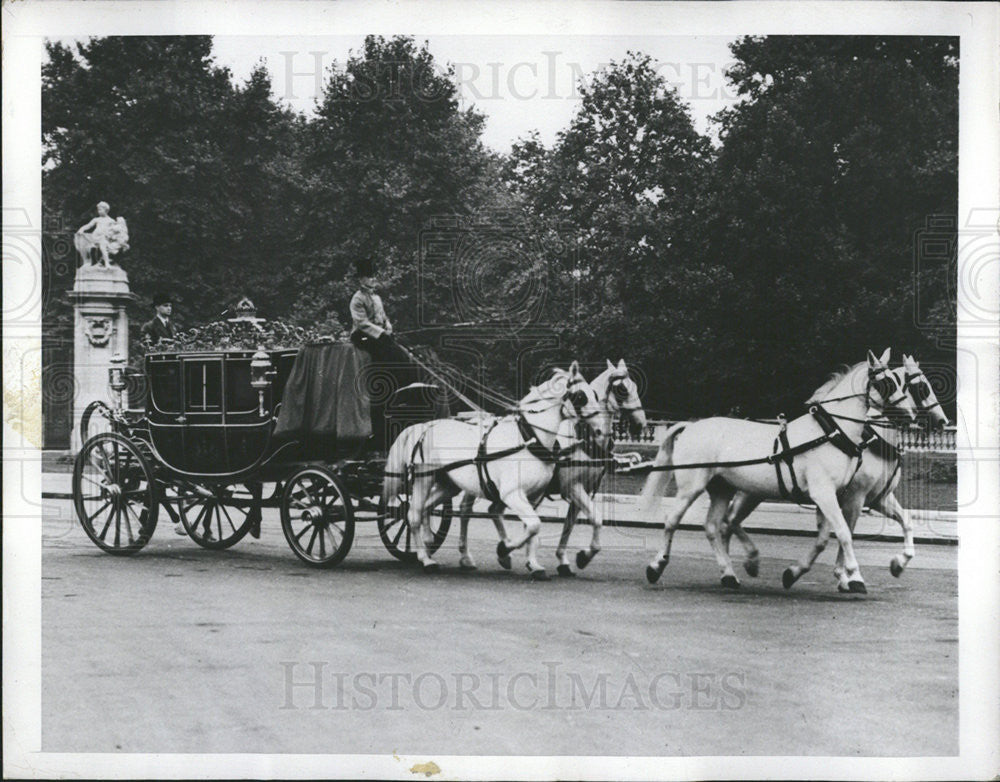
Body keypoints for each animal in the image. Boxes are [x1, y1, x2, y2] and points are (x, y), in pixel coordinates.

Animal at [380, 364, 600, 580]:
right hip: (424, 478)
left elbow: (532, 528)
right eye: (581, 396)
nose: (598, 430)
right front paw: (505, 549)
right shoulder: (512, 494)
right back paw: (427, 560)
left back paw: (429, 546)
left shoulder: (535, 495)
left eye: (595, 394)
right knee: (413, 514)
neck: (528, 440)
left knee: (426, 508)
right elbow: (534, 525)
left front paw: (532, 563)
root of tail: (424, 426)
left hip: (448, 484)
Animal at [456, 362, 648, 576]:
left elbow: (570, 525)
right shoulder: (571, 487)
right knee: (466, 511)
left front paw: (564, 559)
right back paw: (468, 556)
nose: (641, 424)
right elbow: (595, 519)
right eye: (622, 389)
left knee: (490, 510)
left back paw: (501, 553)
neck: (583, 440)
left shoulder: (584, 489)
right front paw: (580, 556)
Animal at [640, 350, 916, 596]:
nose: (910, 416)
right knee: (673, 521)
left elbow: (831, 536)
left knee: (713, 526)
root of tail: (691, 426)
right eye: (885, 383)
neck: (831, 433)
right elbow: (845, 533)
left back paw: (729, 574)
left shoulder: (838, 497)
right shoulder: (827, 494)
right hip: (692, 487)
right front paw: (854, 576)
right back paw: (656, 566)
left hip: (722, 488)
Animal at [720, 354, 944, 588]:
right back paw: (734, 569)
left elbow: (905, 522)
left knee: (729, 521)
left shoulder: (878, 498)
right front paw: (849, 576)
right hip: (749, 491)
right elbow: (846, 532)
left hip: (754, 492)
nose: (942, 421)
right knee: (727, 522)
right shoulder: (853, 497)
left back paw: (740, 566)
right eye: (922, 388)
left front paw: (897, 564)